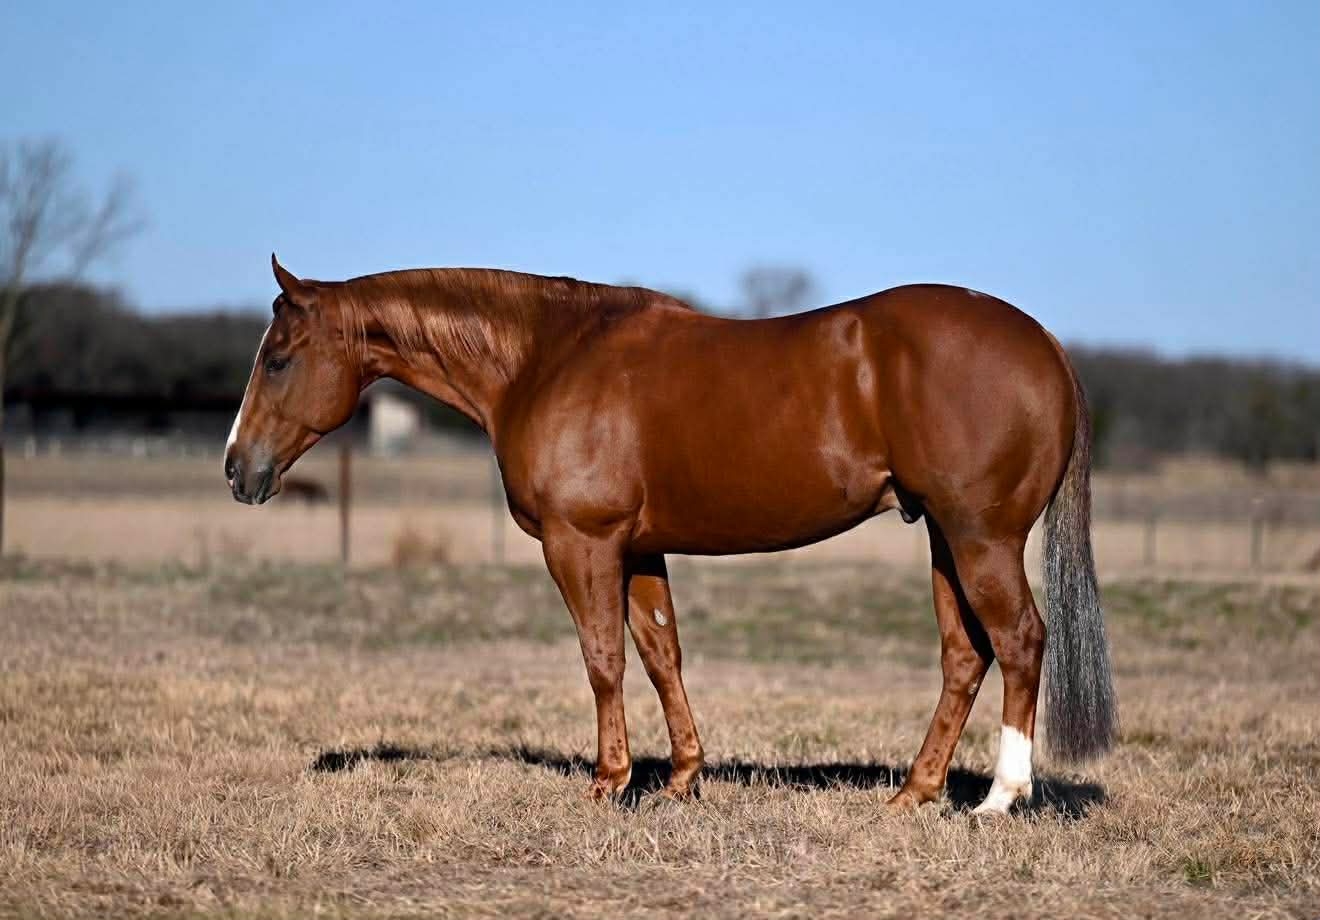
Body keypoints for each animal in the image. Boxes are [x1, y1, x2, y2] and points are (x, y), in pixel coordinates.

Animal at [225, 254, 1117, 814]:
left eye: (278, 358)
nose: (238, 470)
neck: (546, 360)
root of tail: (1043, 343)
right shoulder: (640, 547)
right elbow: (661, 653)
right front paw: (684, 777)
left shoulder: (581, 544)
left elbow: (603, 659)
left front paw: (609, 782)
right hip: (942, 538)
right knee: (965, 655)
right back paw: (913, 793)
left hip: (979, 538)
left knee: (1021, 641)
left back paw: (1000, 798)